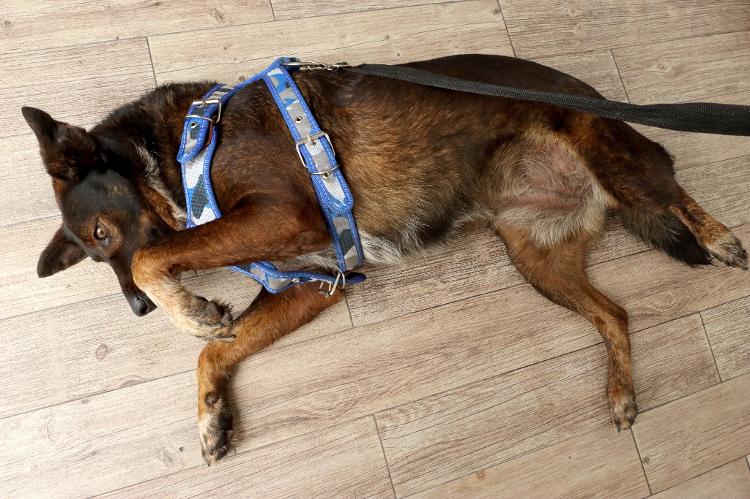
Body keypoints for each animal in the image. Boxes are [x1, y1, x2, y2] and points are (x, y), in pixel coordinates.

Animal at [20, 53, 748, 464]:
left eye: (103, 233)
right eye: (93, 255)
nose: (137, 312)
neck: (180, 145)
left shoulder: (281, 216)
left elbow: (158, 257)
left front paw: (188, 308)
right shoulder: (316, 282)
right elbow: (216, 351)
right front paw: (211, 414)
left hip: (615, 159)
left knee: (675, 190)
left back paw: (717, 236)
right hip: (537, 259)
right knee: (615, 312)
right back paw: (621, 392)